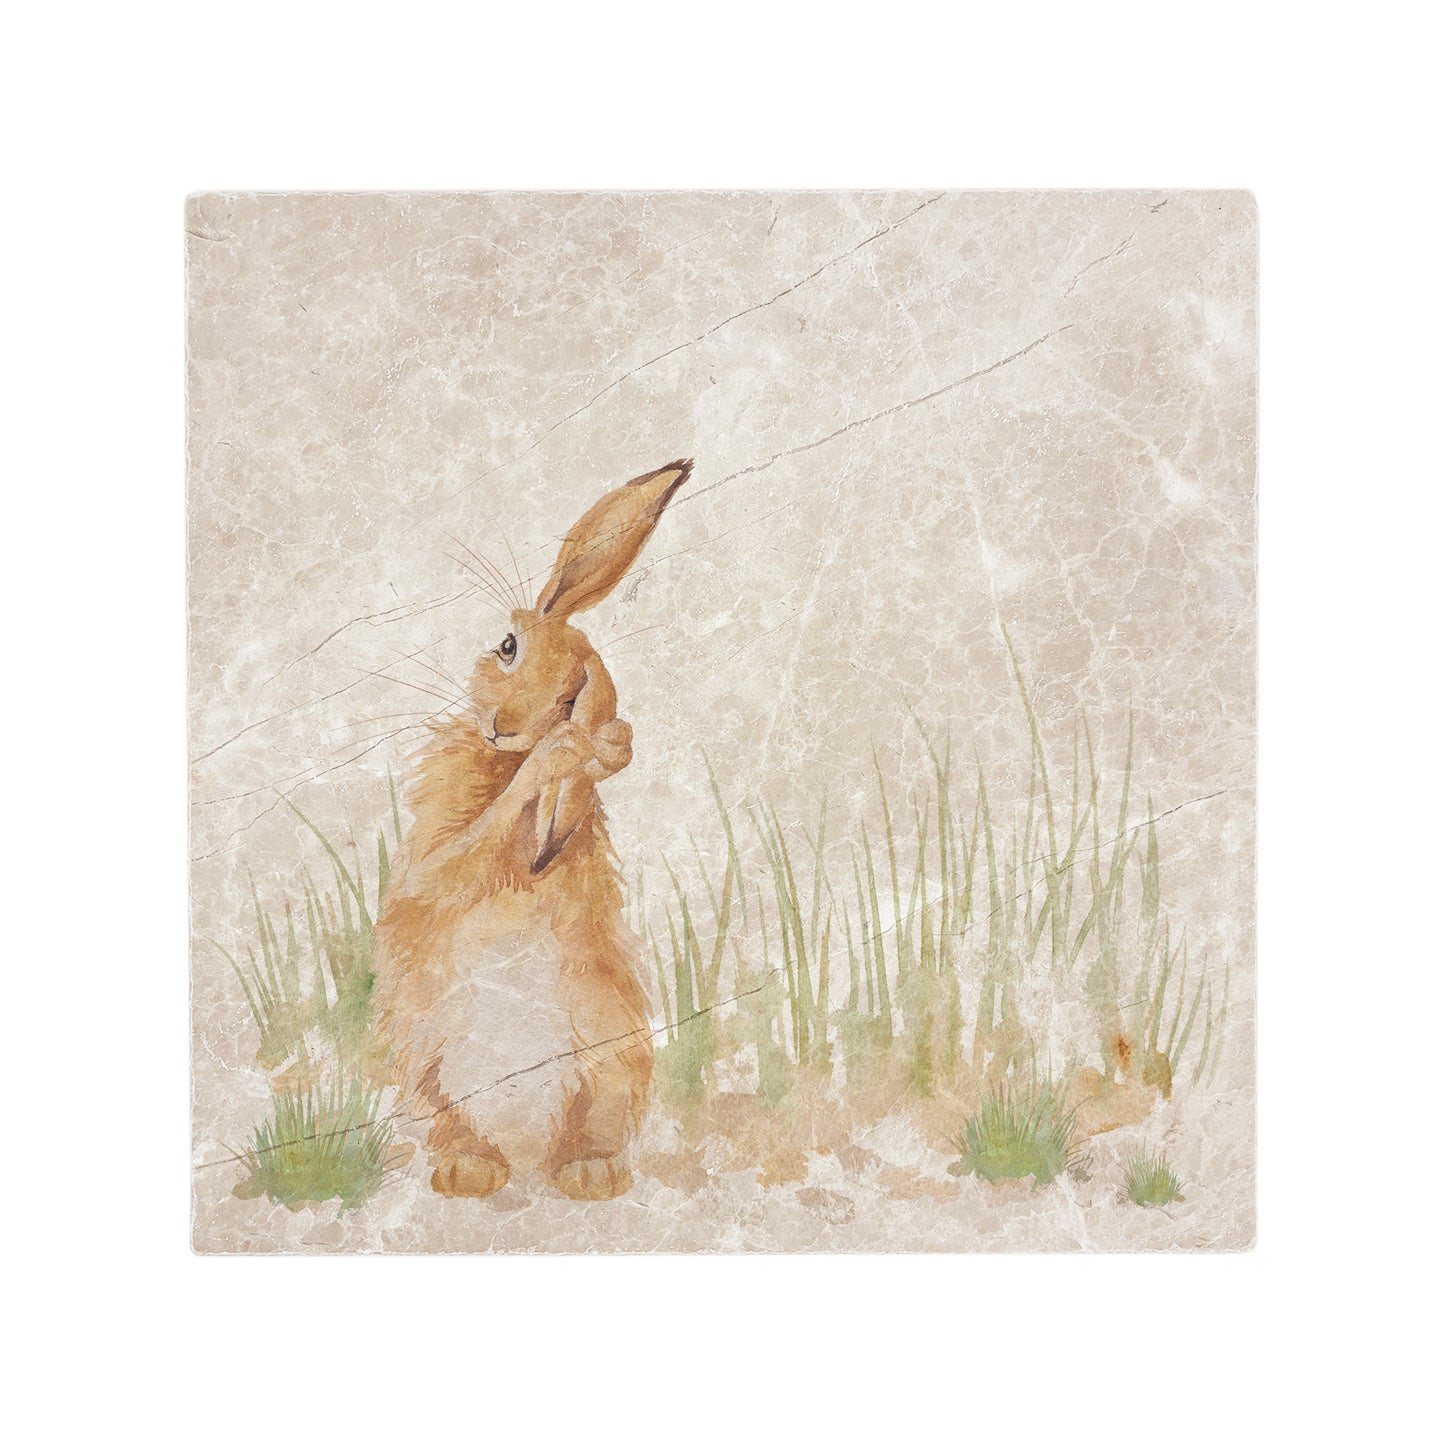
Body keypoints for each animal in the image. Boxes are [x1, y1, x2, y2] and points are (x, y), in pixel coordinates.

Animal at [372, 459, 691, 1202]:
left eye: (572, 696)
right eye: (508, 645)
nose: (503, 726)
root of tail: (523, 1143)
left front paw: (600, 752)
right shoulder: (428, 860)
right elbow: (443, 871)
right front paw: (564, 758)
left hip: (608, 1038)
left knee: (588, 1125)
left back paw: (588, 1172)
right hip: (422, 1050)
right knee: (450, 1123)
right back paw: (471, 1169)